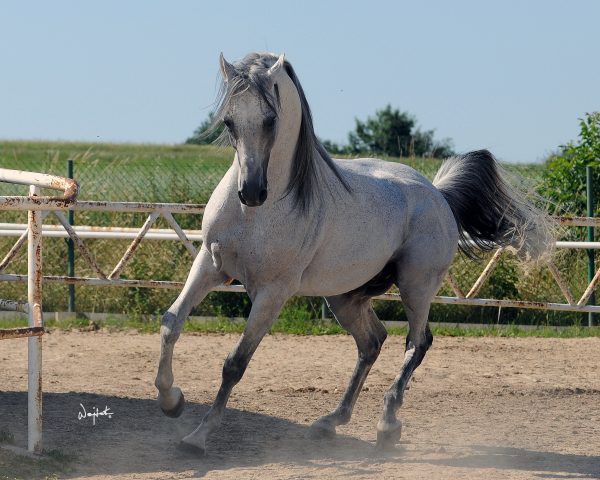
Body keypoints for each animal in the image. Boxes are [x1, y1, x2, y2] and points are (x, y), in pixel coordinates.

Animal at [154, 52, 548, 454]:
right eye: (229, 120)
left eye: (270, 119)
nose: (250, 192)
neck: (256, 216)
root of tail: (437, 194)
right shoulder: (210, 264)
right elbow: (171, 323)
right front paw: (172, 401)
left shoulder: (272, 293)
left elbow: (235, 362)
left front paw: (198, 436)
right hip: (345, 296)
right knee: (372, 342)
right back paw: (330, 421)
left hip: (416, 286)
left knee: (417, 342)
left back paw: (387, 425)